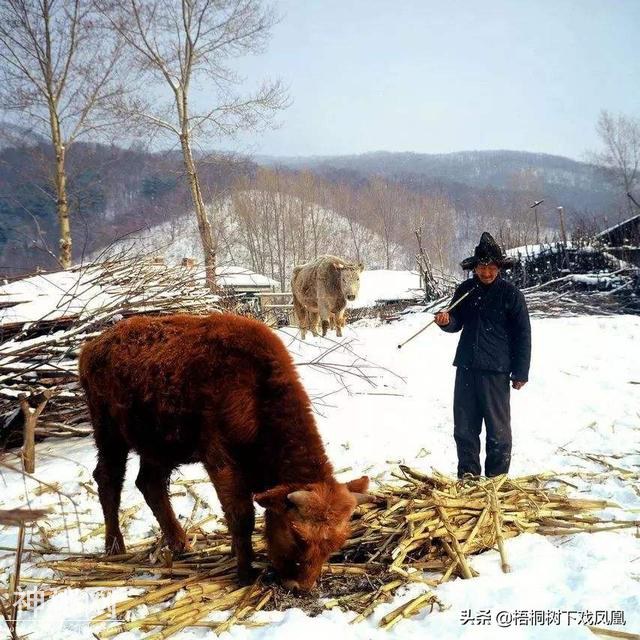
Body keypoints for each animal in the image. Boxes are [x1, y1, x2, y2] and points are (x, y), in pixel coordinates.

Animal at [79, 314, 370, 592]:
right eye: (297, 534)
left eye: (336, 543)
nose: (300, 587)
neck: (256, 389)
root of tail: (92, 346)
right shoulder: (221, 462)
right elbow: (242, 517)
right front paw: (245, 573)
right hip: (110, 435)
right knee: (108, 480)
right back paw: (115, 548)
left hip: (159, 447)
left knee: (150, 484)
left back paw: (180, 544)